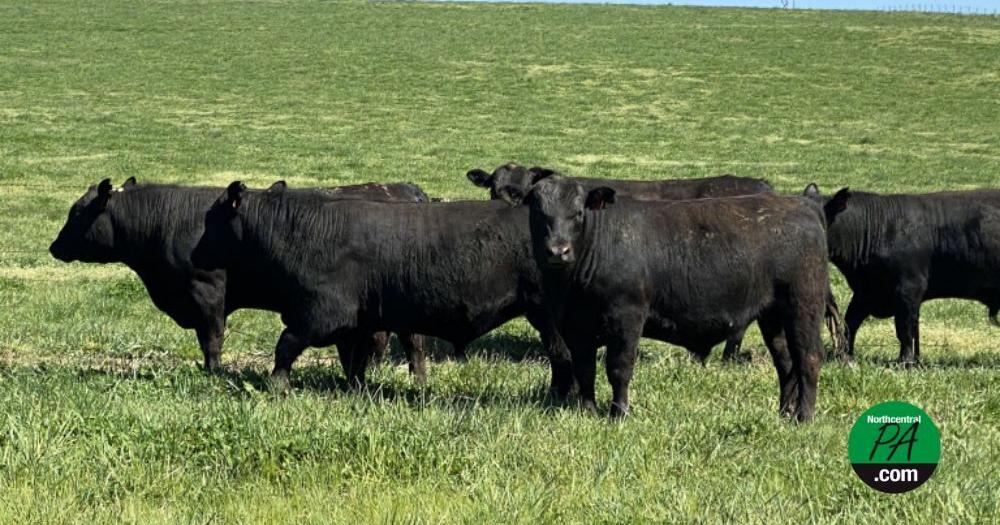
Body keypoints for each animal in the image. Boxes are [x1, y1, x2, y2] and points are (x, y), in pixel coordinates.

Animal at [48, 178, 429, 381]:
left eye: (77, 212)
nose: (54, 246)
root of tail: (406, 189)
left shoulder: (207, 292)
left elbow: (212, 339)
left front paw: (213, 372)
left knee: (406, 340)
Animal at [190, 181, 575, 395]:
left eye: (212, 218)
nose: (194, 252)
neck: (298, 232)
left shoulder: (318, 314)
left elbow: (285, 347)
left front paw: (277, 386)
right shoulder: (356, 325)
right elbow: (355, 363)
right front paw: (357, 392)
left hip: (549, 316)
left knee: (562, 355)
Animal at [508, 175, 829, 422]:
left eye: (577, 213)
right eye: (538, 213)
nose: (558, 251)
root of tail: (802, 205)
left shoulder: (627, 317)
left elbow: (619, 368)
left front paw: (619, 413)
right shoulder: (575, 326)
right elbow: (585, 369)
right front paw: (587, 411)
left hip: (804, 305)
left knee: (808, 359)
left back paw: (803, 416)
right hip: (772, 316)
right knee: (785, 363)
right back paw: (784, 412)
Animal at [804, 183, 1000, 365]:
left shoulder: (908, 289)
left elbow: (905, 330)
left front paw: (905, 361)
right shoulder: (866, 292)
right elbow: (849, 323)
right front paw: (843, 355)